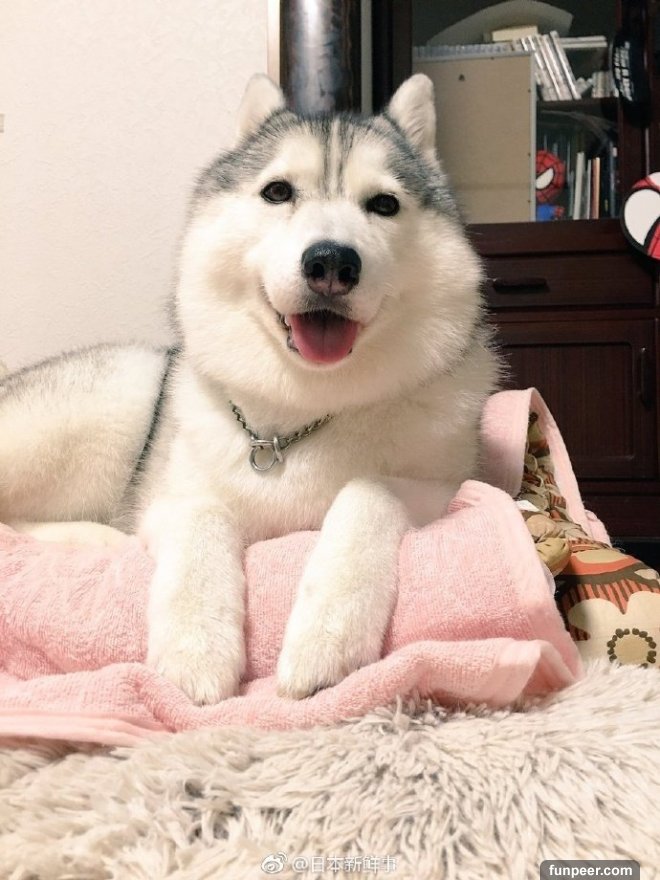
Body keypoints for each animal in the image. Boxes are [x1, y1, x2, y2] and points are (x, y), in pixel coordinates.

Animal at [0, 74, 499, 704]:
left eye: (384, 204)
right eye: (278, 192)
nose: (331, 261)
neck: (297, 417)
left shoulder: (451, 486)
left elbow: (367, 492)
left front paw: (327, 635)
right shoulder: (172, 499)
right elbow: (204, 518)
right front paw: (195, 647)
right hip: (119, 390)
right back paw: (95, 538)